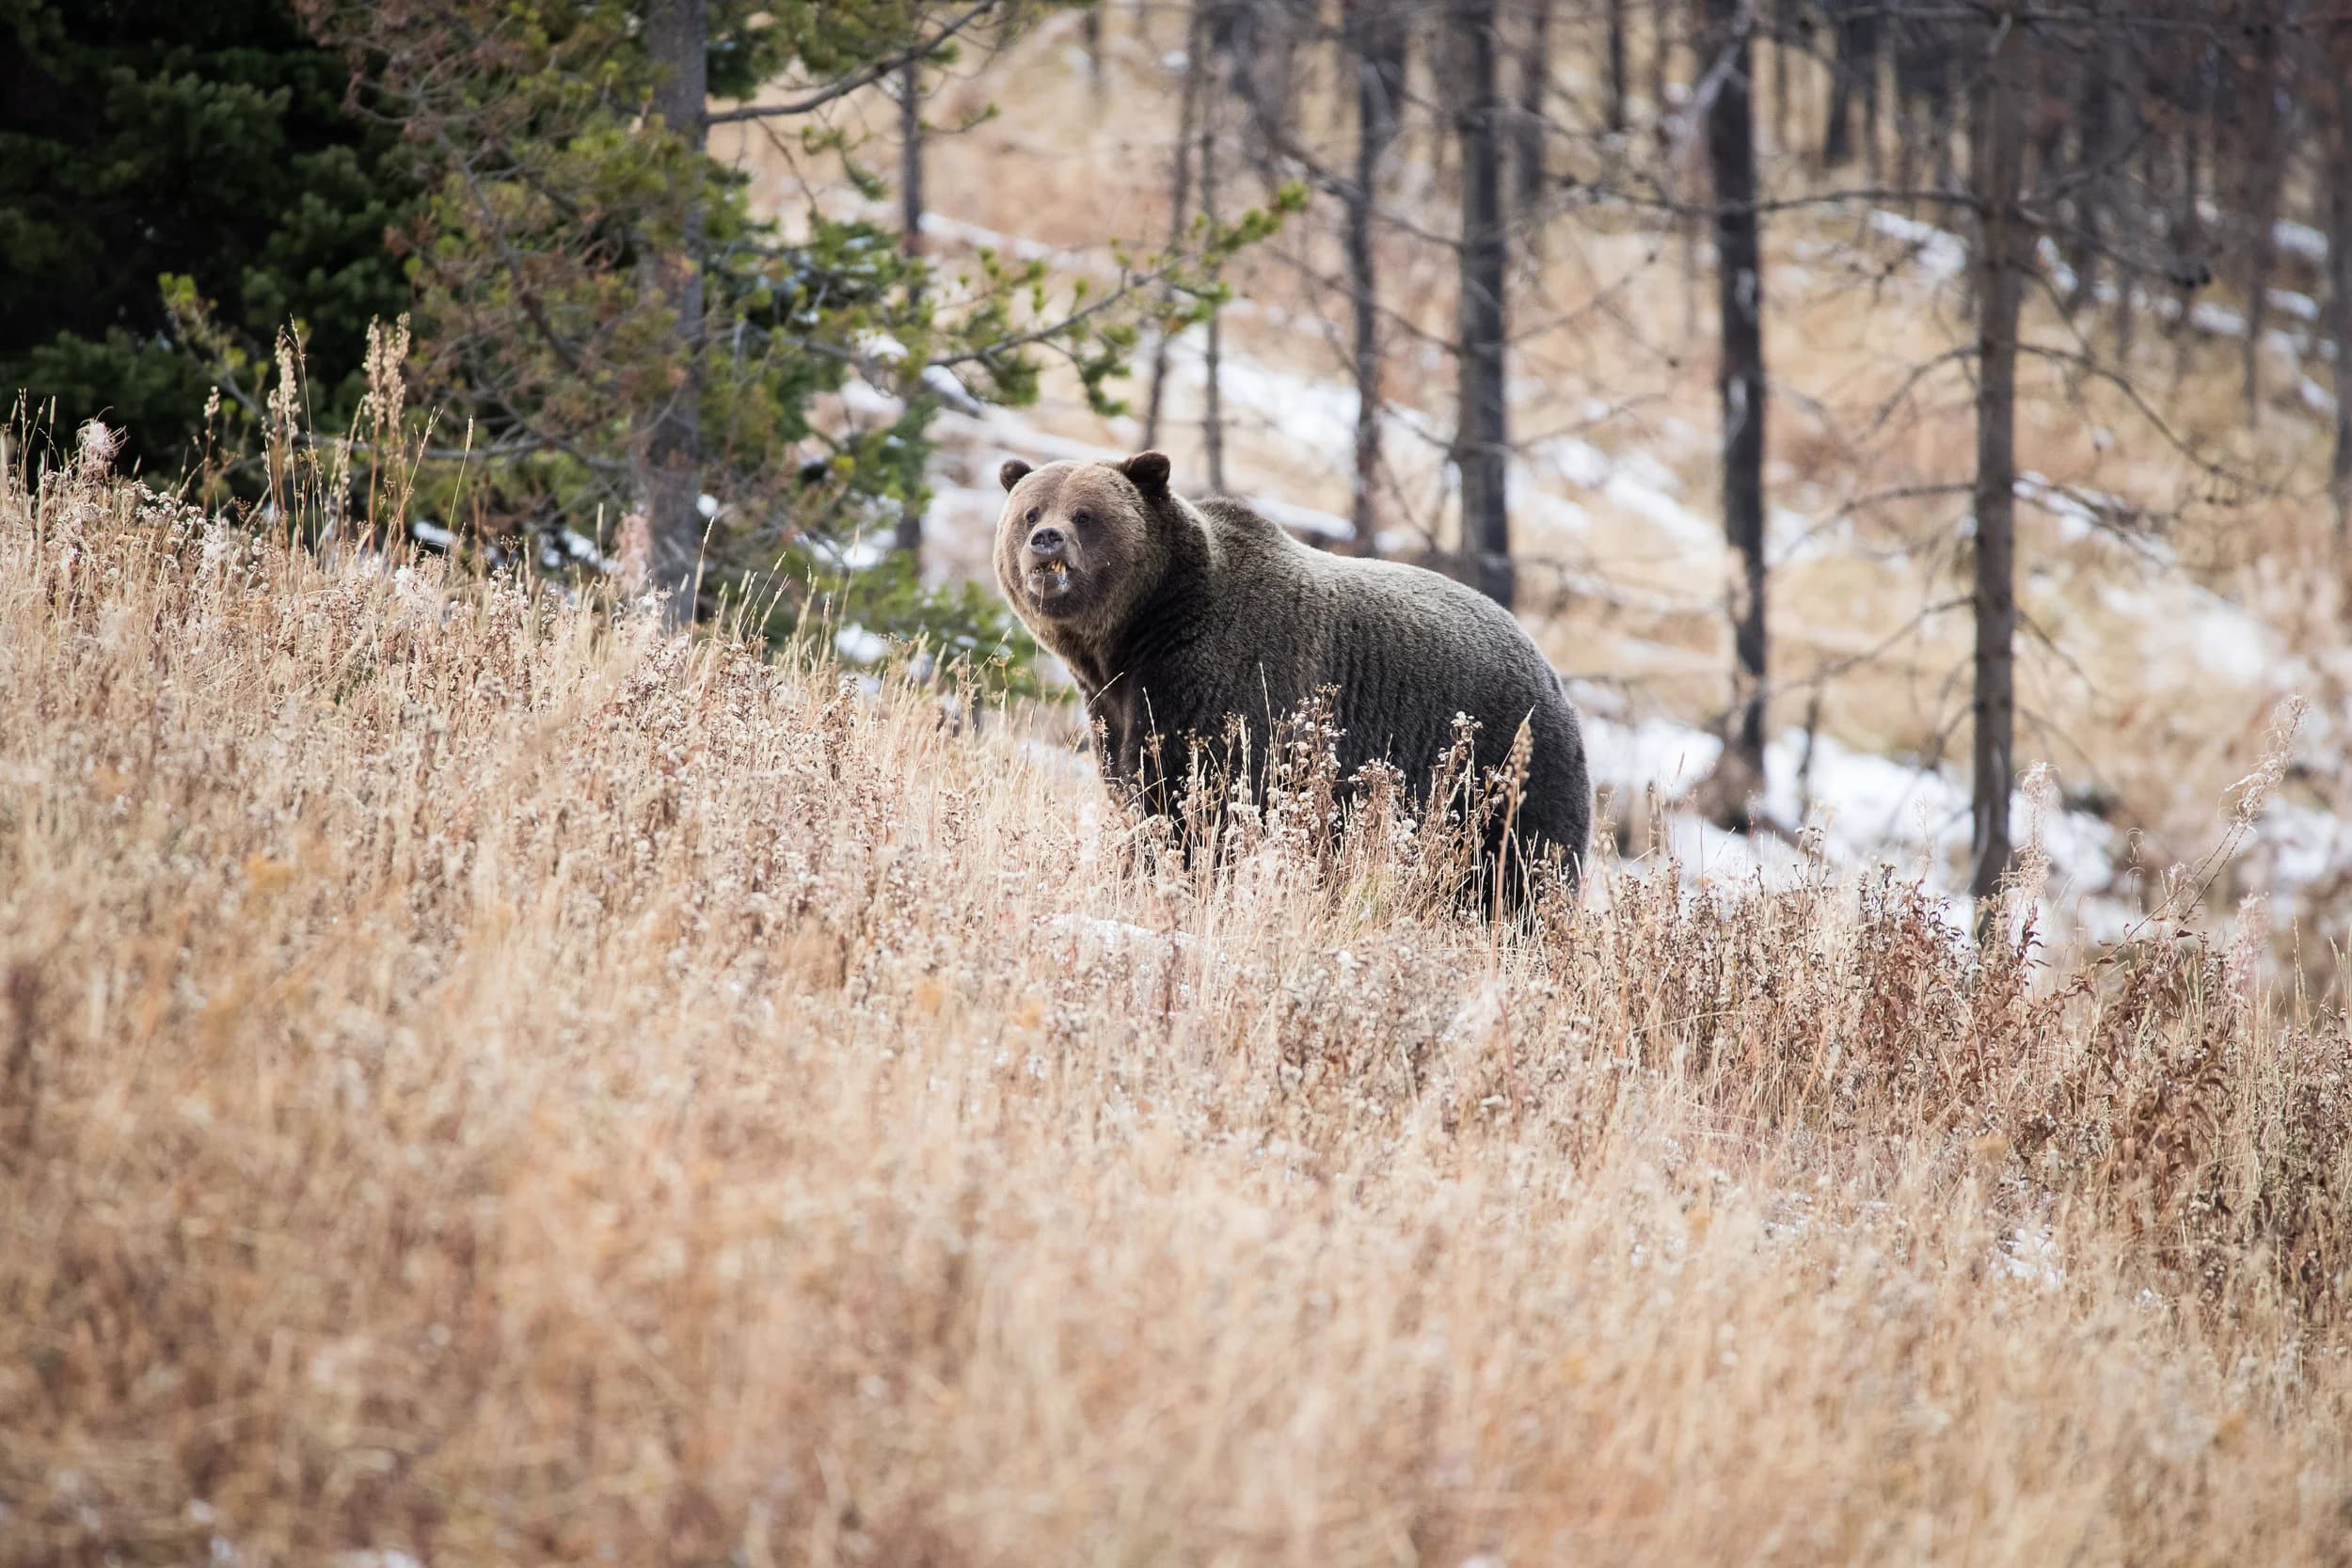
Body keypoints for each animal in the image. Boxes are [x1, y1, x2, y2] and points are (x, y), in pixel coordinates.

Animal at [994, 451, 1591, 900]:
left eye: (1085, 514)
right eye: (1031, 511)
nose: (1047, 539)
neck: (1140, 631)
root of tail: (1551, 672)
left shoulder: (1226, 680)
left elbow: (1203, 801)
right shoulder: (1114, 705)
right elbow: (1136, 794)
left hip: (1503, 768)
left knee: (1522, 871)